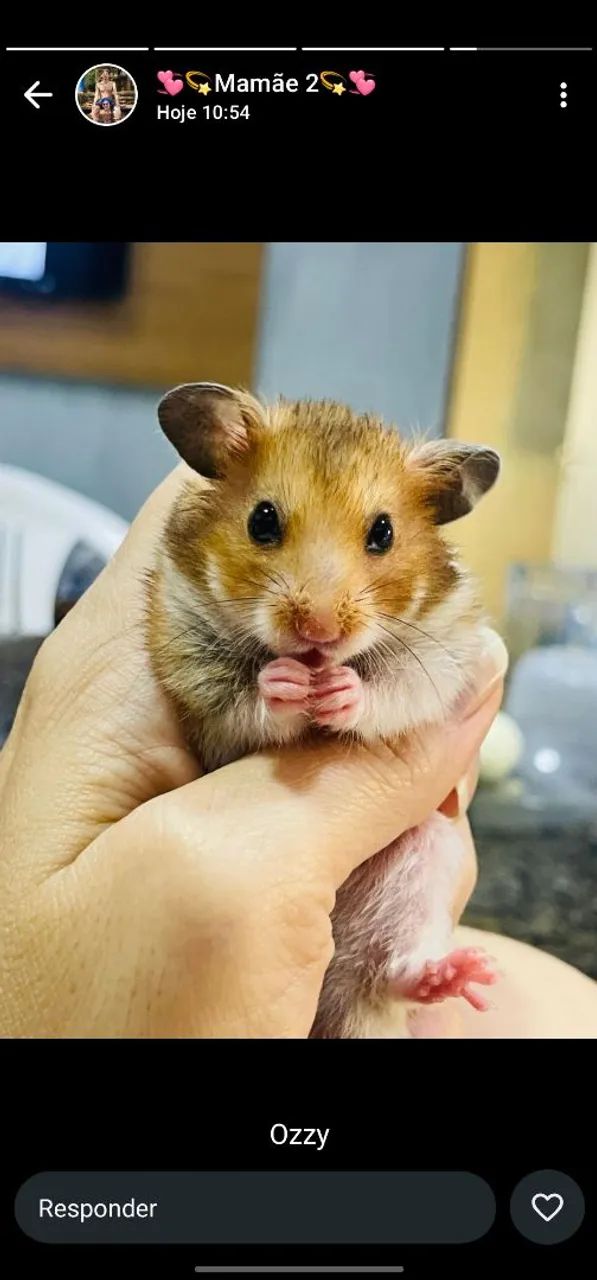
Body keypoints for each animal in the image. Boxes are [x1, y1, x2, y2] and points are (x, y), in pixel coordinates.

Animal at [146, 382, 501, 1039]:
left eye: (383, 532)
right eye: (262, 520)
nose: (319, 633)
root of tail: (341, 1005)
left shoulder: (439, 658)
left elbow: (392, 691)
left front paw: (339, 690)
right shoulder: (198, 682)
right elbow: (245, 702)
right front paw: (286, 682)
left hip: (426, 859)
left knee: (391, 968)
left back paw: (458, 974)